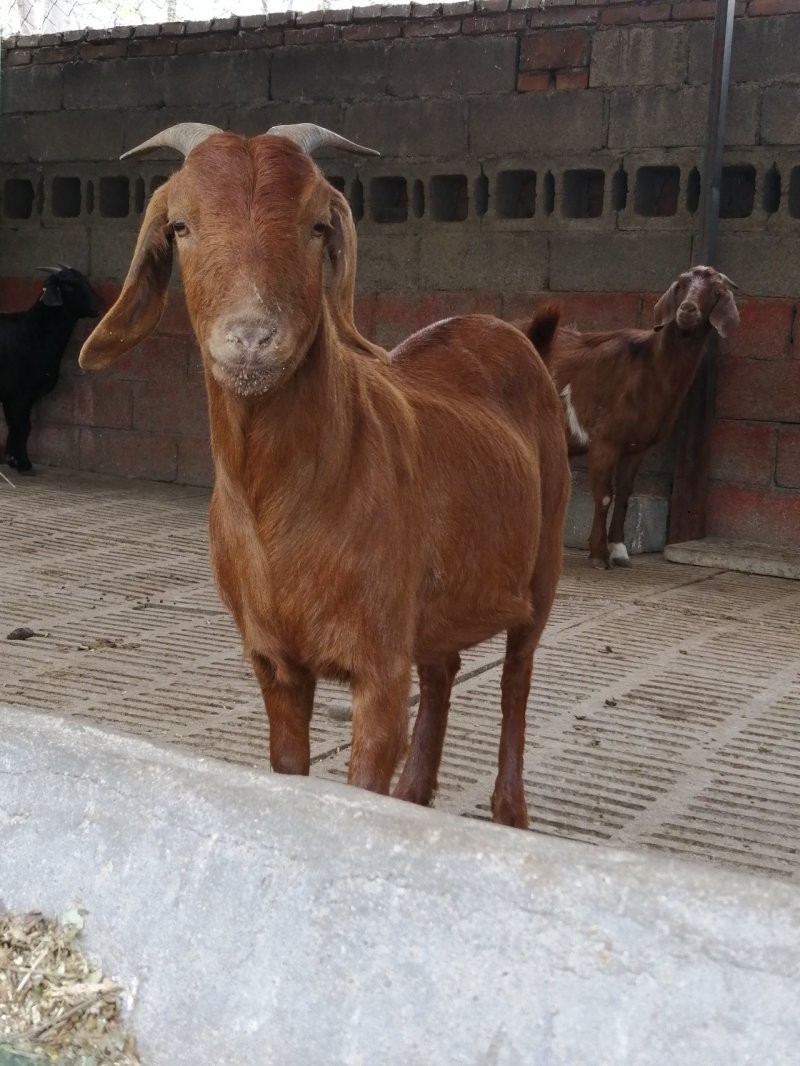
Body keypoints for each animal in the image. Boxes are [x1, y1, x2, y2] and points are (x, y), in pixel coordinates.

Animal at [0, 264, 100, 473]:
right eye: (68, 286)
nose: (96, 309)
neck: (34, 331)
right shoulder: (21, 393)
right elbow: (23, 427)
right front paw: (23, 464)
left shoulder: (11, 395)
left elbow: (14, 426)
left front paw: (12, 459)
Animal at [80, 120, 571, 827]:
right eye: (179, 226)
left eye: (317, 225)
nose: (252, 338)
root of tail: (508, 329)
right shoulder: (273, 662)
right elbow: (289, 765)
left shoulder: (381, 665)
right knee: (445, 669)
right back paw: (416, 795)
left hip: (545, 563)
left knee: (516, 680)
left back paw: (510, 811)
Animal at [529, 264, 742, 567]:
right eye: (680, 286)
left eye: (715, 292)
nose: (687, 309)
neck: (646, 365)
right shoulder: (605, 439)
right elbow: (605, 495)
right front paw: (599, 555)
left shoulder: (637, 445)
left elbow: (625, 493)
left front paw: (619, 550)